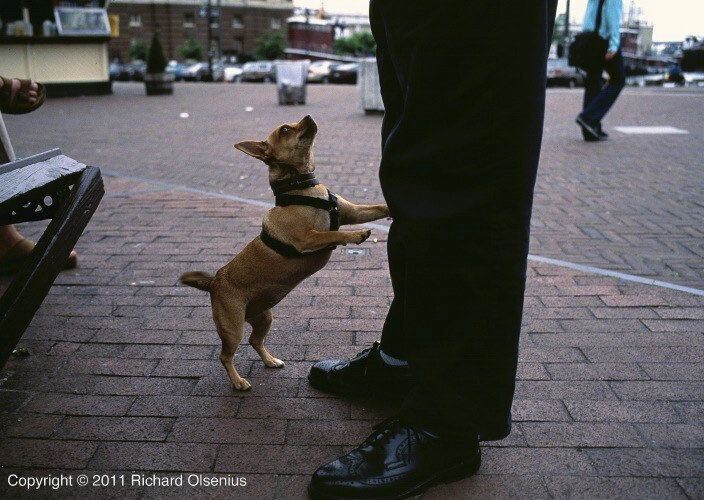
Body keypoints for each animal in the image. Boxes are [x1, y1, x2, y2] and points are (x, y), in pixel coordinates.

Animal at [180, 116, 390, 390]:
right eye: (285, 130)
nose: (309, 116)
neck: (301, 187)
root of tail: (214, 282)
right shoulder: (307, 239)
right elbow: (331, 235)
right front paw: (355, 236)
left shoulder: (352, 212)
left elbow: (376, 208)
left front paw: (391, 209)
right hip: (232, 327)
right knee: (225, 355)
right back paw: (238, 382)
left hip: (264, 317)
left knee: (255, 341)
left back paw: (270, 361)